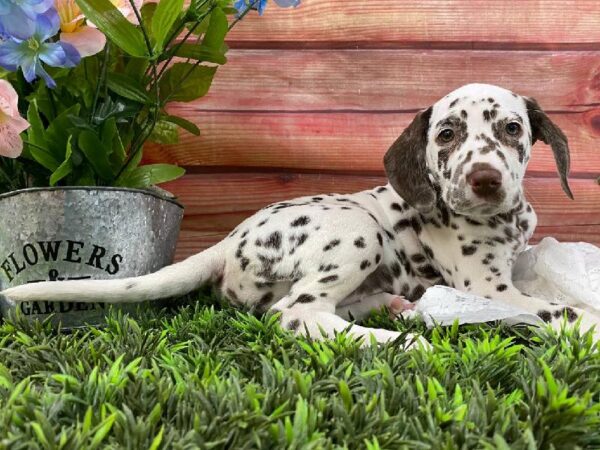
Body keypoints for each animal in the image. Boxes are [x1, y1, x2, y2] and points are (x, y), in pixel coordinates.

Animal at [3, 83, 596, 344]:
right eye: (447, 135)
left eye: (512, 129)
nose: (485, 180)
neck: (503, 222)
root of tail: (228, 240)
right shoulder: (489, 286)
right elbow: (558, 311)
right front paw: (582, 321)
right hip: (359, 231)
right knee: (295, 314)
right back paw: (394, 340)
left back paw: (394, 308)